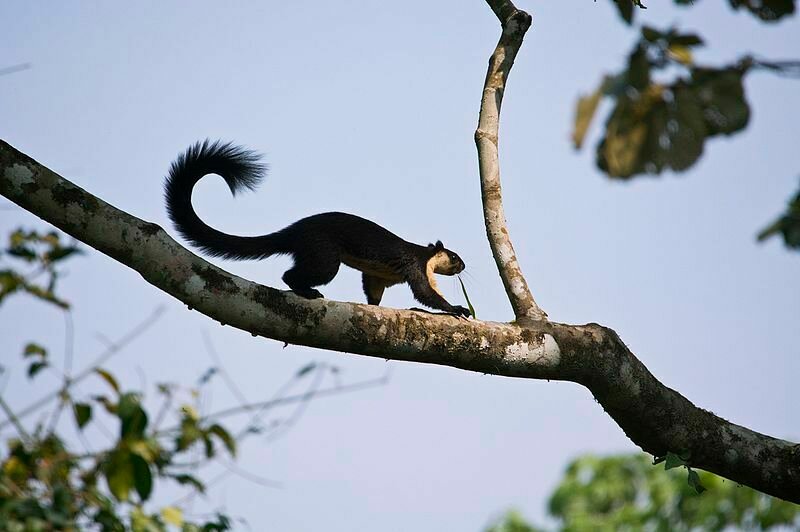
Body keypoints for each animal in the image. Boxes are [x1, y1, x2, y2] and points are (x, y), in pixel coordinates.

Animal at [164, 140, 470, 317]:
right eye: (455, 257)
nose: (464, 266)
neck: (427, 256)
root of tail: (295, 231)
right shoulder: (415, 265)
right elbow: (426, 293)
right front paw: (457, 309)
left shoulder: (379, 276)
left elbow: (373, 290)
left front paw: (373, 307)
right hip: (324, 256)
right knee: (292, 275)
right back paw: (308, 292)